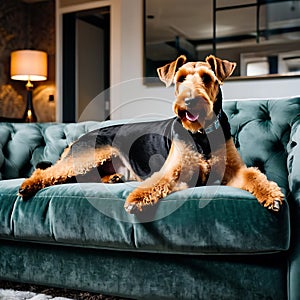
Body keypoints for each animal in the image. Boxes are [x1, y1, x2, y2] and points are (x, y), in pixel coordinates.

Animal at [18, 54, 284, 213]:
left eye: (207, 78)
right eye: (180, 78)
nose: (189, 102)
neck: (201, 134)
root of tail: (75, 140)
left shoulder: (235, 171)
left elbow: (255, 176)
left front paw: (272, 195)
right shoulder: (174, 171)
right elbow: (158, 182)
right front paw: (136, 199)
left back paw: (112, 179)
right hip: (86, 157)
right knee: (47, 171)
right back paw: (27, 186)